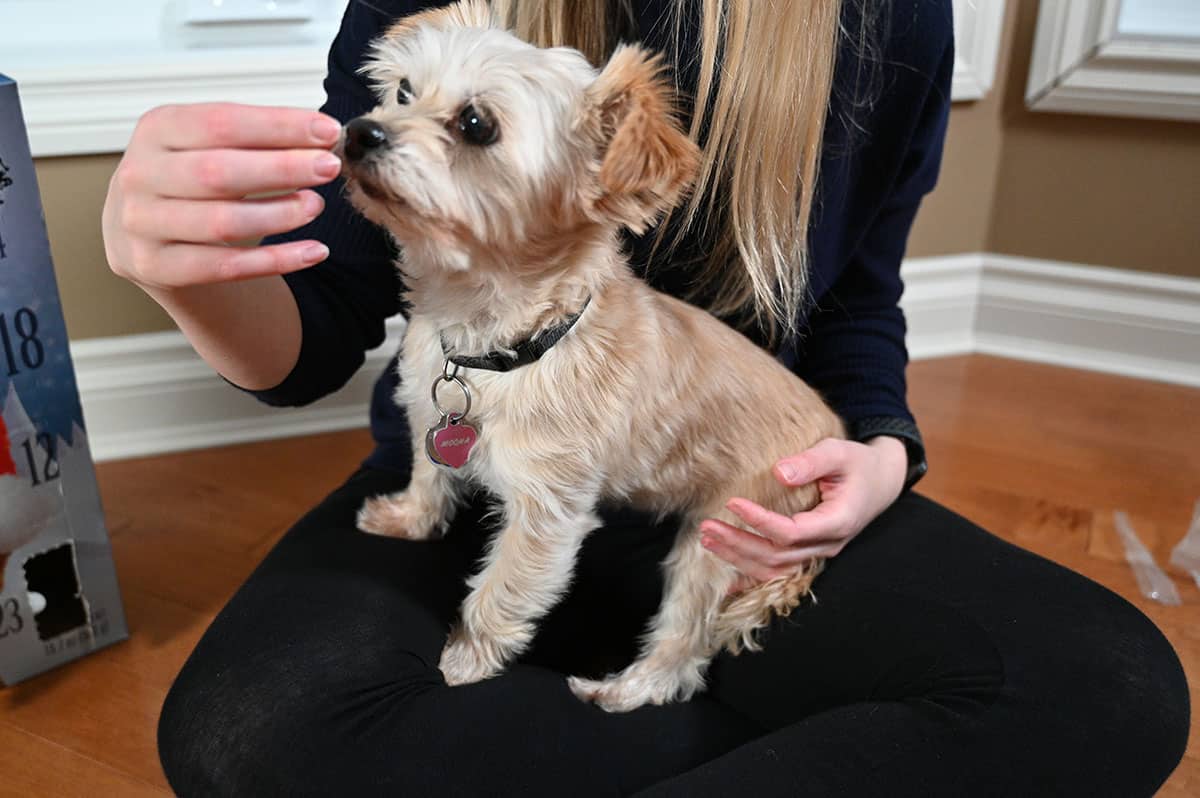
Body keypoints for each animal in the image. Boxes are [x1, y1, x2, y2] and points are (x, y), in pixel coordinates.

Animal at [340, 0, 844, 710]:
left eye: (476, 124)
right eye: (403, 91)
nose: (360, 132)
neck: (498, 345)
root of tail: (834, 431)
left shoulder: (548, 514)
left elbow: (501, 593)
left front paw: (463, 662)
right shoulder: (428, 416)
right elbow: (429, 474)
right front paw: (408, 519)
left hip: (724, 536)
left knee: (684, 649)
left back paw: (622, 691)